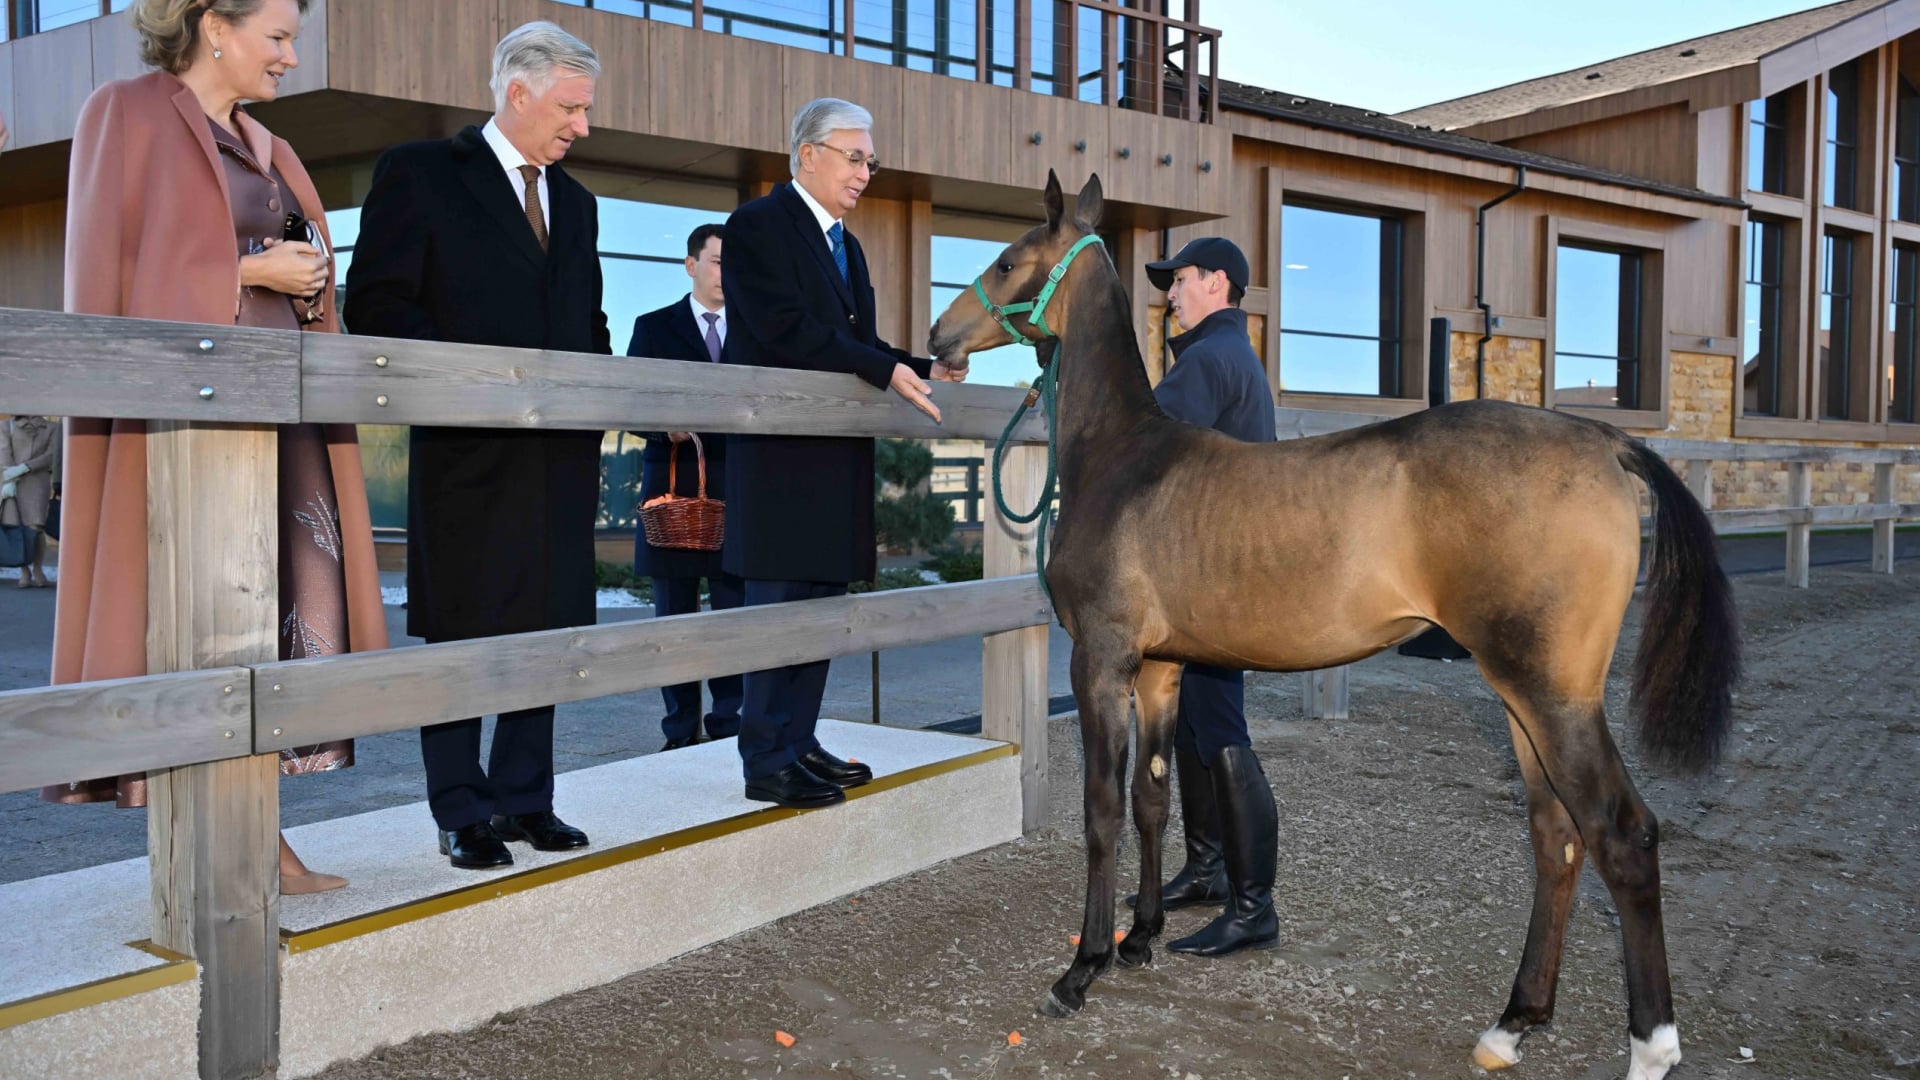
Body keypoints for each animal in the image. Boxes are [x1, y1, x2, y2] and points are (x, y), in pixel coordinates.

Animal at [928, 171, 1739, 1080]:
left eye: (1005, 260)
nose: (936, 338)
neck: (1123, 455)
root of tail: (1603, 441)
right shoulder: (1160, 669)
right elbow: (1152, 798)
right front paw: (1140, 938)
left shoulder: (1100, 663)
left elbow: (1102, 807)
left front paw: (1083, 968)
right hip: (1524, 698)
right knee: (1556, 834)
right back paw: (1513, 1023)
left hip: (1553, 695)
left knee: (1621, 836)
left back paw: (1649, 1046)